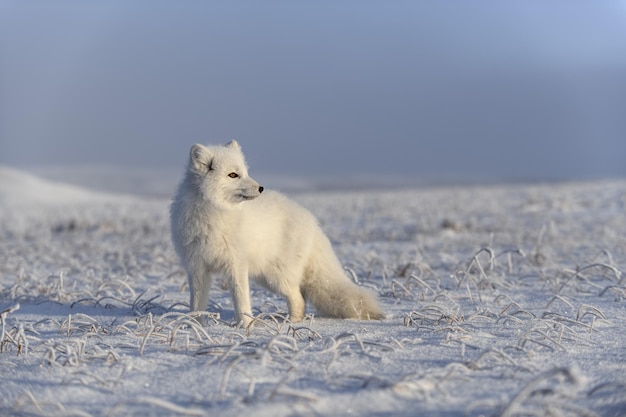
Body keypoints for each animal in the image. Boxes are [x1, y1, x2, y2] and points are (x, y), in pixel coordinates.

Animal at [171, 140, 386, 324]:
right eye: (233, 175)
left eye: (246, 172)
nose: (261, 188)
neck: (215, 213)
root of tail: (312, 221)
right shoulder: (196, 268)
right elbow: (196, 304)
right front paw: (195, 325)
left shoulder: (236, 265)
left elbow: (242, 302)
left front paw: (246, 328)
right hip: (266, 277)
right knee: (301, 297)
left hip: (276, 277)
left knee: (298, 298)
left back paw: (292, 324)